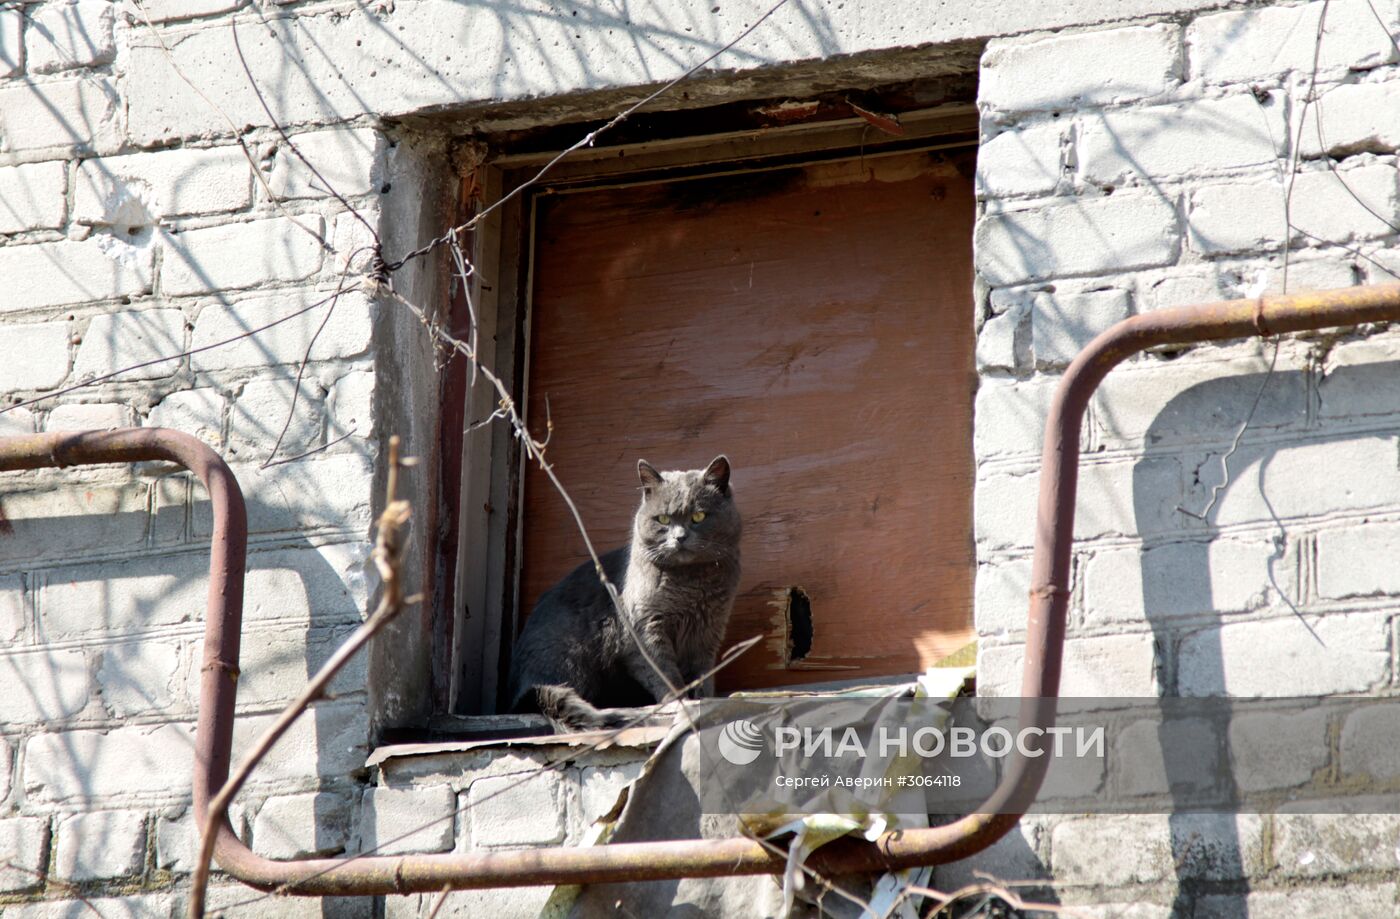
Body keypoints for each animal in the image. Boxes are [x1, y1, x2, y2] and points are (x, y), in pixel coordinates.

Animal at [506, 456, 744, 734]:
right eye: (663, 519)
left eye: (698, 516)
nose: (680, 537)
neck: (690, 585)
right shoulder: (643, 631)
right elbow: (661, 670)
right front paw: (678, 701)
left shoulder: (709, 631)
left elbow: (703, 671)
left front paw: (703, 698)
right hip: (570, 656)